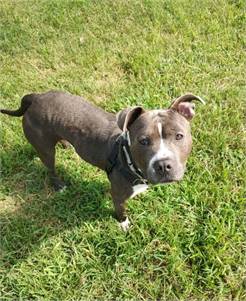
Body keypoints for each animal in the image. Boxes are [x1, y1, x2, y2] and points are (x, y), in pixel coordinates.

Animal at [0, 91, 205, 230]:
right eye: (143, 141)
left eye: (179, 136)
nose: (163, 165)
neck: (128, 159)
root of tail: (35, 97)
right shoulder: (118, 195)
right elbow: (121, 212)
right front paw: (124, 224)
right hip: (45, 149)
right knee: (50, 168)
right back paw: (59, 186)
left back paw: (66, 144)